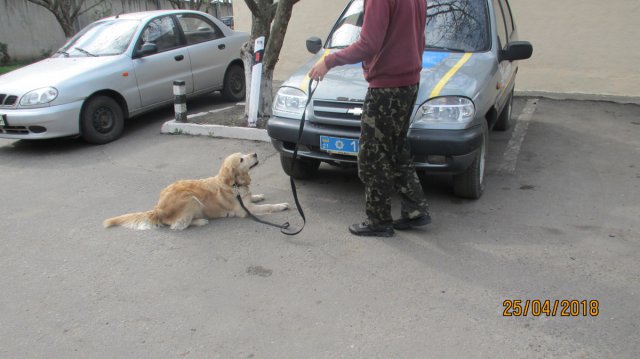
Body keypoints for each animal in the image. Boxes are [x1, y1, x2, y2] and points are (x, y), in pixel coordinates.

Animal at [103, 152, 290, 231]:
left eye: (244, 154)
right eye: (242, 159)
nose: (255, 154)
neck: (234, 184)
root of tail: (157, 208)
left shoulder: (246, 201)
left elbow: (254, 197)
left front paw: (259, 195)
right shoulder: (246, 211)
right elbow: (268, 207)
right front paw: (282, 205)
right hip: (191, 199)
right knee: (176, 226)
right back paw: (200, 221)